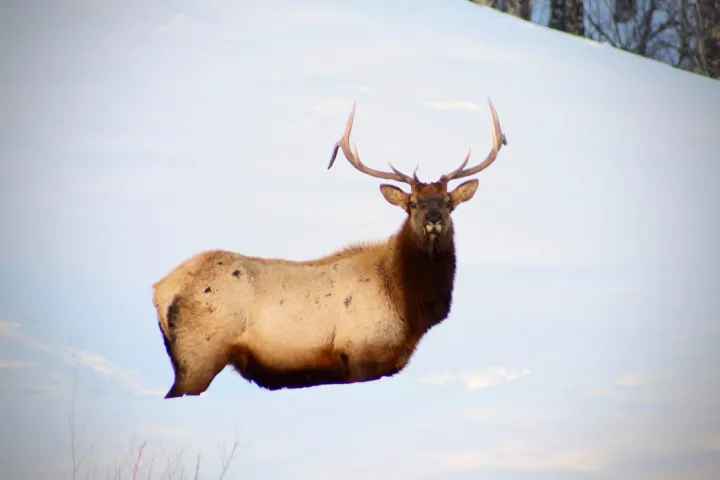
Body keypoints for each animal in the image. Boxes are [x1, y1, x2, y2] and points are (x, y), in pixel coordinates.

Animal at [152, 98, 507, 398]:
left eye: (447, 202)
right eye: (413, 204)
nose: (434, 219)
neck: (408, 304)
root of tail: (160, 290)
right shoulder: (360, 355)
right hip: (199, 356)